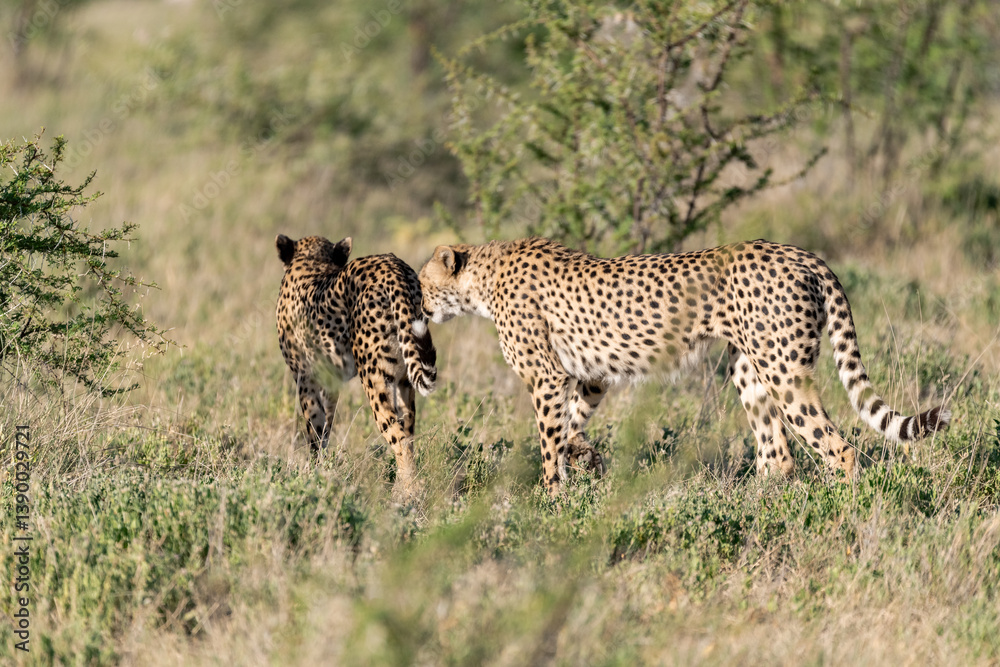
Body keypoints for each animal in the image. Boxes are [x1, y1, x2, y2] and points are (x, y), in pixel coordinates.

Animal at [276, 234, 437, 493]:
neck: (313, 262)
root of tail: (395, 268)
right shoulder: (330, 381)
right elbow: (326, 425)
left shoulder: (305, 378)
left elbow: (314, 427)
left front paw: (312, 474)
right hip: (405, 378)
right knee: (409, 434)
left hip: (374, 378)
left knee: (397, 437)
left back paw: (406, 493)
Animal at [418, 237, 950, 496]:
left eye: (422, 284)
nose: (420, 308)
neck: (482, 278)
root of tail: (801, 252)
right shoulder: (591, 375)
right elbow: (571, 425)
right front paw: (585, 457)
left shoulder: (547, 378)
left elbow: (549, 442)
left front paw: (551, 501)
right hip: (749, 370)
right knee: (777, 455)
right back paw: (756, 509)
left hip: (782, 370)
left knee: (839, 450)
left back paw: (840, 514)